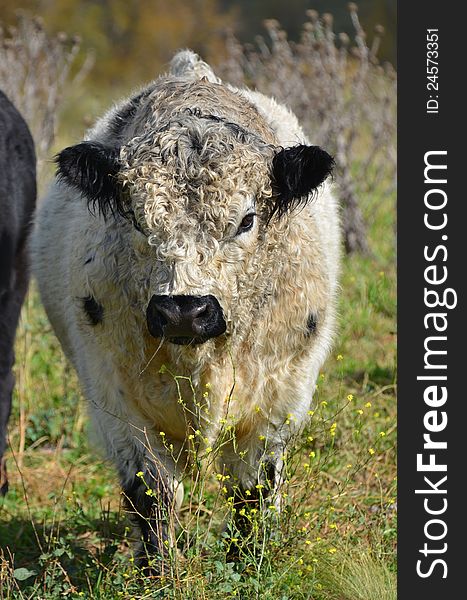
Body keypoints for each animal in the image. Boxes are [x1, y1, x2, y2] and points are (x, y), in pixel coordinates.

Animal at [32, 50, 340, 568]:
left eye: (247, 220)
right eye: (137, 219)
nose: (184, 310)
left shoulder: (281, 397)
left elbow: (253, 490)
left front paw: (248, 564)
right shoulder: (115, 401)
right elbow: (153, 492)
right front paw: (160, 570)